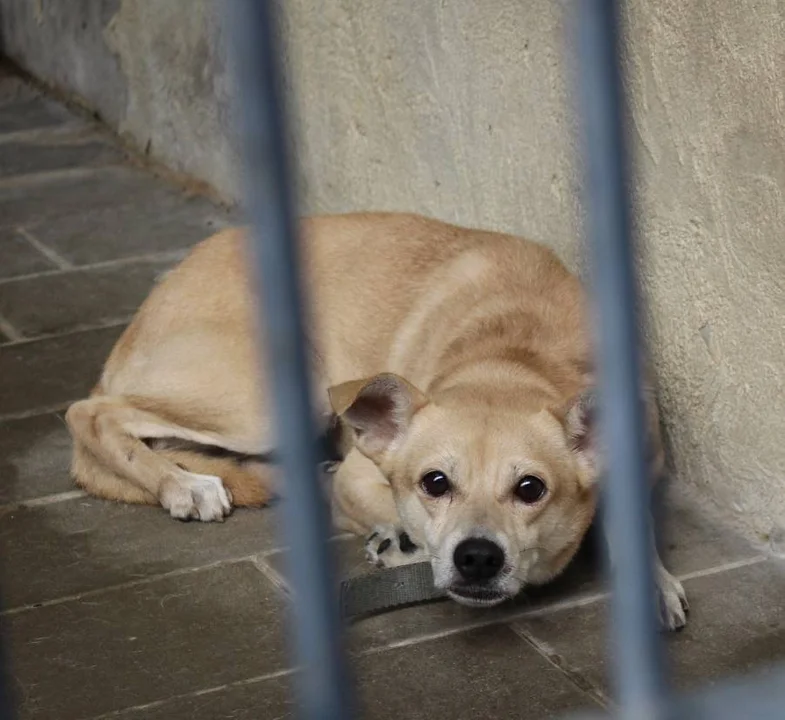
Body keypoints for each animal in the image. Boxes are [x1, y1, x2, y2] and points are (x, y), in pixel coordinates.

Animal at [69, 214, 692, 632]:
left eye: (530, 488)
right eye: (434, 482)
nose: (478, 558)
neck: (515, 356)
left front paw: (648, 582)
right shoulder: (361, 477)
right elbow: (397, 520)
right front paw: (399, 542)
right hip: (272, 398)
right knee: (91, 415)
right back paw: (185, 485)